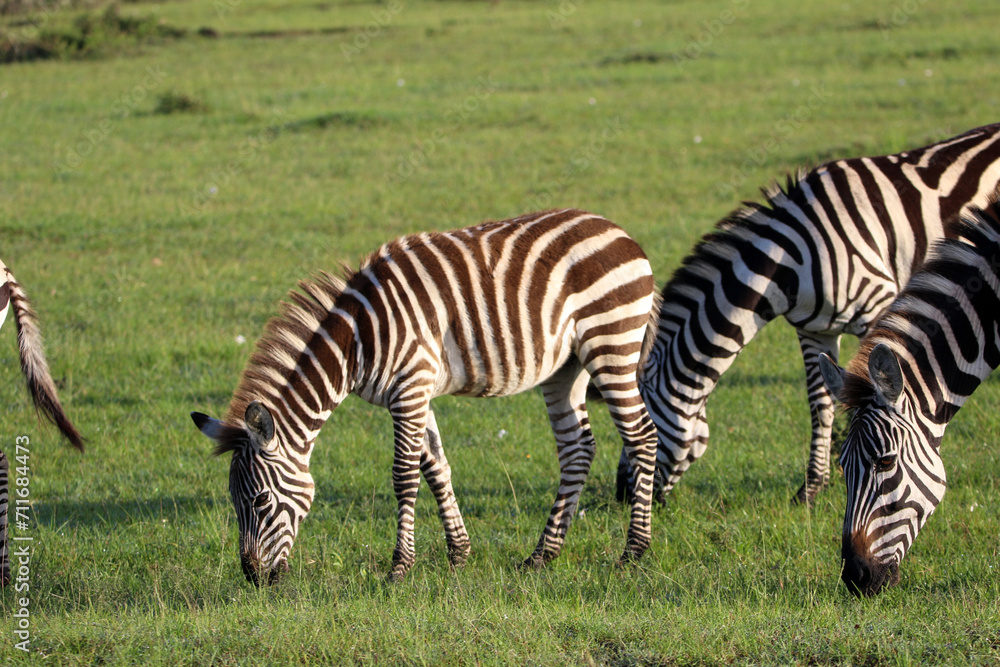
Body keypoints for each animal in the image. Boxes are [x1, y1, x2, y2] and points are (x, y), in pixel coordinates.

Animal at [191, 209, 661, 584]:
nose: (253, 578)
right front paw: (459, 554)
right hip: (566, 367)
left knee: (642, 437)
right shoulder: (416, 394)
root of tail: (617, 230)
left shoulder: (411, 387)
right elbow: (435, 468)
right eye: (234, 501)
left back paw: (633, 552)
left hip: (611, 343)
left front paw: (400, 567)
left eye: (260, 501)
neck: (356, 342)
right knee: (577, 449)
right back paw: (543, 555)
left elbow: (404, 475)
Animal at [618, 123, 1000, 507]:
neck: (786, 264)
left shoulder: (880, 309)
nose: (620, 495)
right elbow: (821, 403)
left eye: (643, 426)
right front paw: (814, 486)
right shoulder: (815, 331)